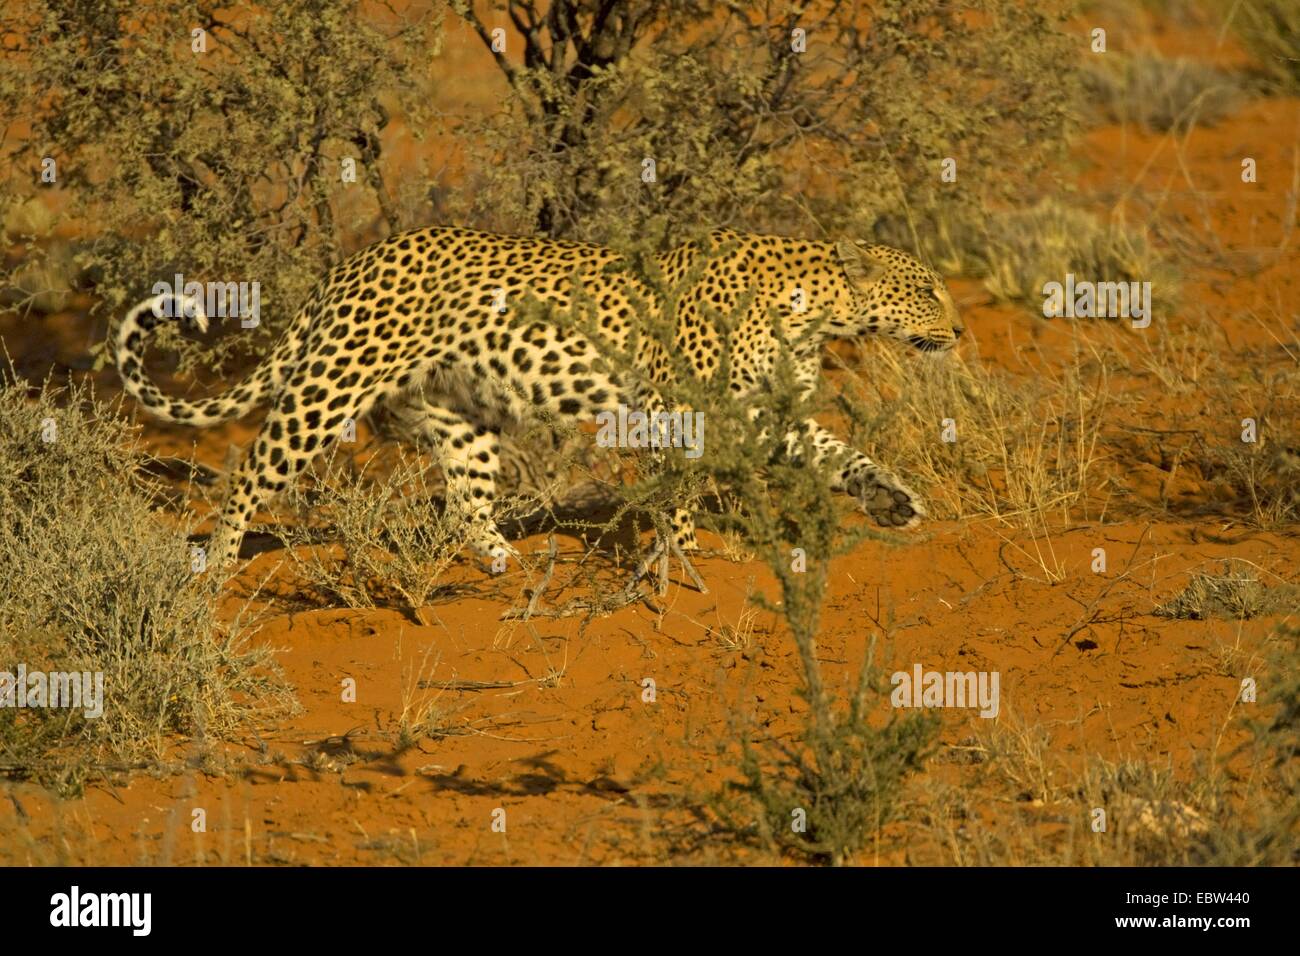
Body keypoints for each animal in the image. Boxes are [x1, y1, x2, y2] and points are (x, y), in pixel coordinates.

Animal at [113, 226, 963, 580]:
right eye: (926, 290)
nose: (957, 328)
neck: (812, 309)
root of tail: (352, 262)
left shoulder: (753, 412)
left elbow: (838, 453)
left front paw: (892, 500)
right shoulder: (678, 409)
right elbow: (679, 497)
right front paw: (684, 556)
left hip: (462, 415)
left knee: (465, 501)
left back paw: (503, 560)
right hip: (331, 388)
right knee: (249, 471)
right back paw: (215, 568)